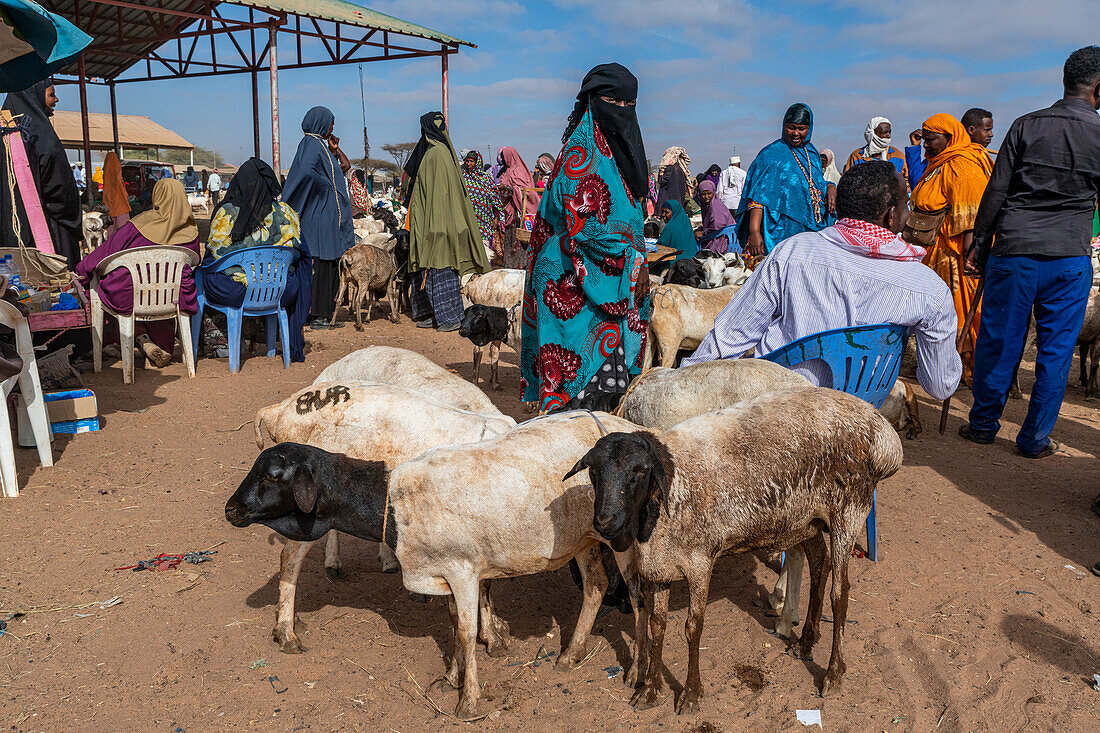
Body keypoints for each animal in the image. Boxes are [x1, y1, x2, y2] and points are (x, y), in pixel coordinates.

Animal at [249, 376, 514, 651]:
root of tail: (277, 411)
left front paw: (495, 629)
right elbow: (482, 586)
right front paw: (492, 637)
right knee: (289, 558)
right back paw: (286, 633)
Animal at [576, 385, 902, 708]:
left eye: (640, 471)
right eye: (593, 470)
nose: (605, 520)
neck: (666, 494)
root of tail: (884, 433)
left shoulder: (700, 561)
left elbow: (693, 628)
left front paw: (691, 695)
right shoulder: (659, 567)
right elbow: (658, 626)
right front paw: (649, 691)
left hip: (849, 509)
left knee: (840, 593)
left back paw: (833, 674)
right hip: (809, 518)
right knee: (820, 567)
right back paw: (806, 643)